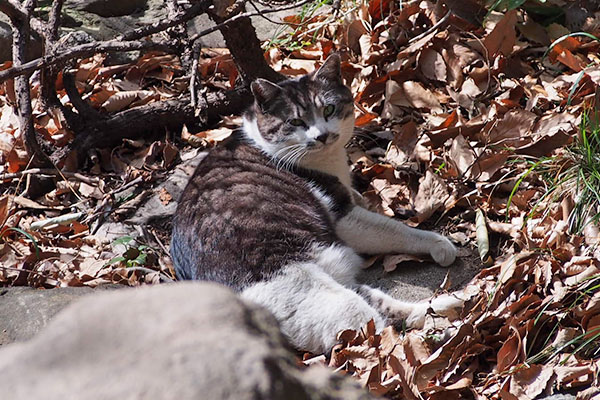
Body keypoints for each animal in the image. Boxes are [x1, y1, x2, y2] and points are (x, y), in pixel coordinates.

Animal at [171, 53, 462, 354]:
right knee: (382, 334)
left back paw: (452, 303)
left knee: (389, 308)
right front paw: (439, 243)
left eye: (329, 109)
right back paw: (442, 335)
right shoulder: (342, 215)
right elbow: (396, 229)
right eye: (295, 122)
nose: (320, 135)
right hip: (329, 301)